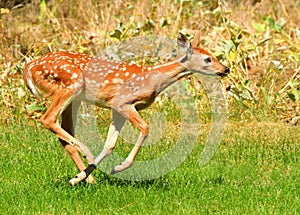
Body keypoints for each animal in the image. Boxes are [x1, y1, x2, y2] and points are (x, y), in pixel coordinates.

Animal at [24, 32, 230, 186]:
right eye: (207, 59)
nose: (226, 69)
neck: (153, 80)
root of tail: (29, 67)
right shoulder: (122, 102)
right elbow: (145, 128)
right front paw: (120, 166)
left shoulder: (117, 109)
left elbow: (110, 144)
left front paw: (81, 176)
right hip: (70, 85)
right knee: (48, 119)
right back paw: (86, 152)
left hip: (73, 98)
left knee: (63, 132)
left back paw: (88, 178)